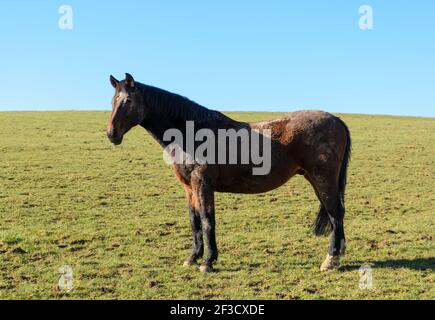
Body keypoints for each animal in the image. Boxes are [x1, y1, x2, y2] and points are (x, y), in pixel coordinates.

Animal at [107, 73, 352, 272]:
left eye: (128, 101)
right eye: (112, 101)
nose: (111, 133)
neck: (192, 133)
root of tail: (337, 120)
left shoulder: (202, 184)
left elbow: (207, 220)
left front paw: (208, 262)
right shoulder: (189, 188)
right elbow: (194, 221)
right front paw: (193, 258)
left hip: (323, 180)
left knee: (335, 213)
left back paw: (330, 259)